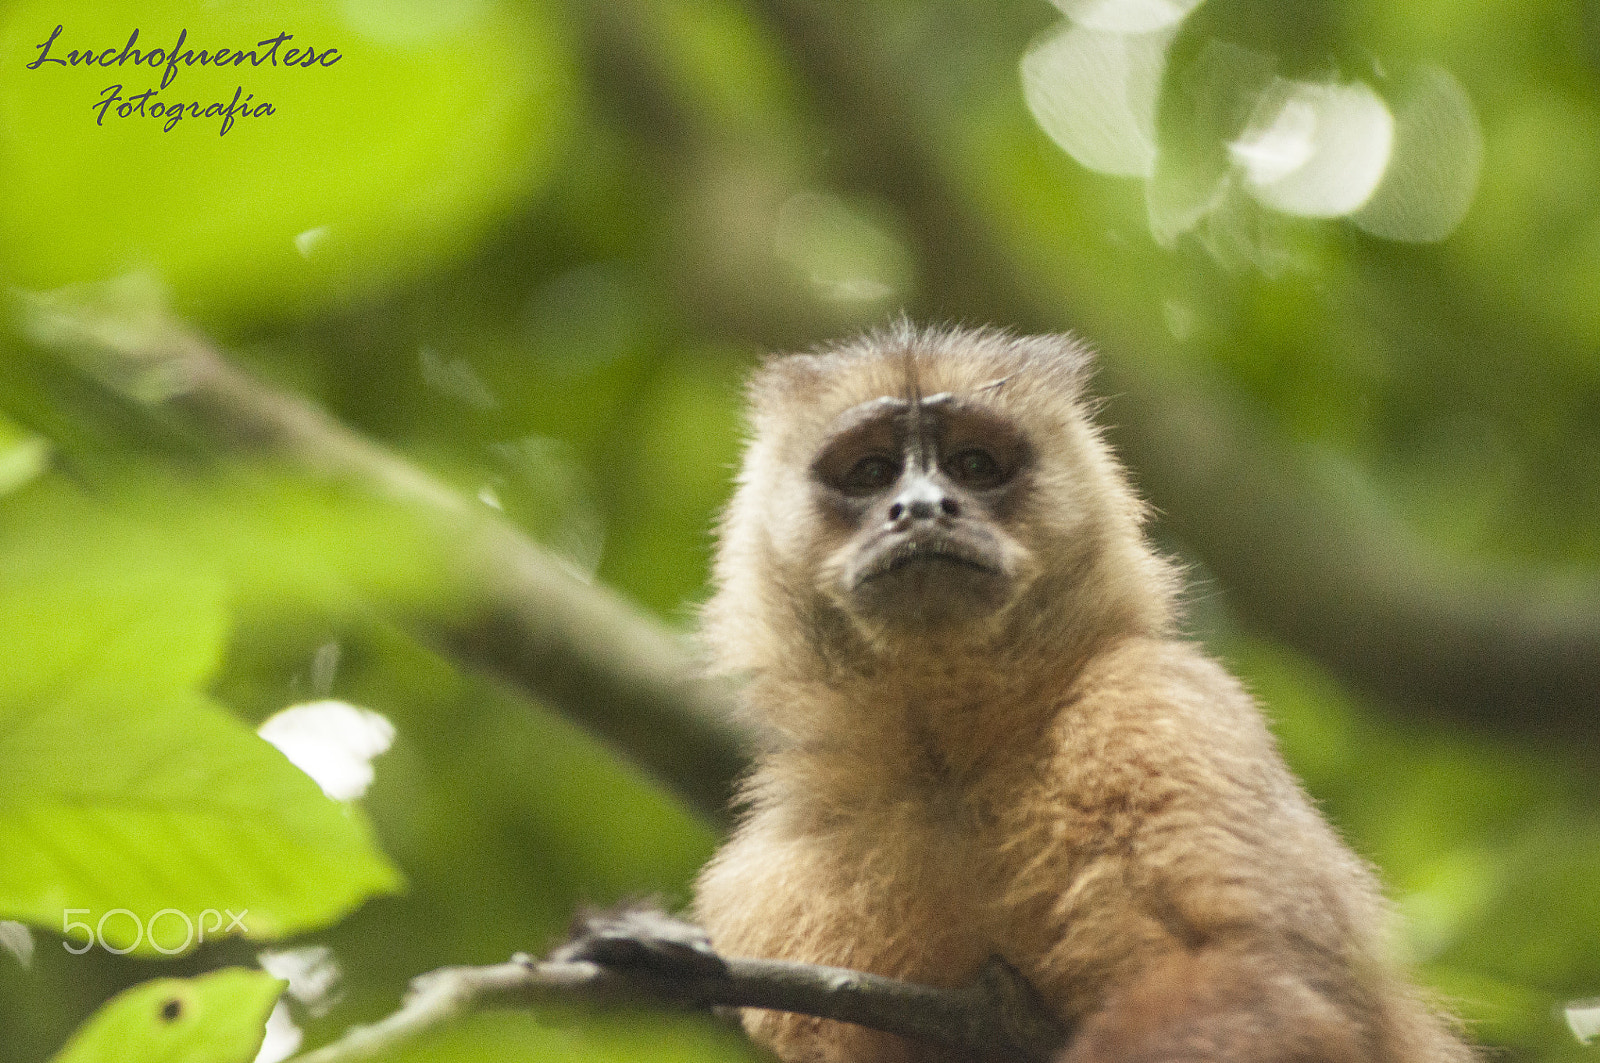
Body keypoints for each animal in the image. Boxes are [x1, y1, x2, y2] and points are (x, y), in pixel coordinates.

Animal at [684, 323, 1474, 1063]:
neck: (950, 767)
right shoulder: (762, 883)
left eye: (974, 464)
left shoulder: (1156, 703)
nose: (923, 506)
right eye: (871, 471)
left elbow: (1265, 975)